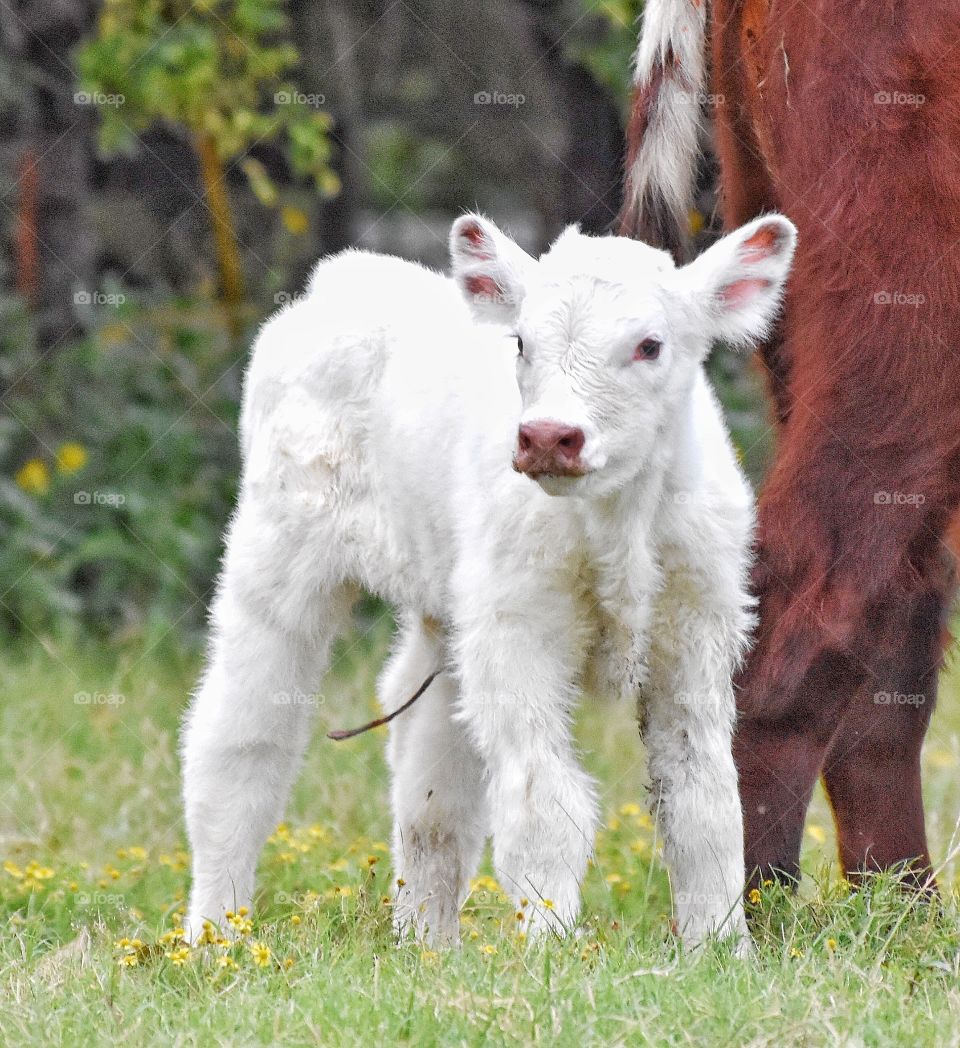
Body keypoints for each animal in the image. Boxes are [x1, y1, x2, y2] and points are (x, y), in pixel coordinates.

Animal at [181, 210, 796, 950]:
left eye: (650, 346)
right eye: (522, 342)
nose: (548, 436)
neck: (617, 523)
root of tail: (344, 276)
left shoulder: (696, 635)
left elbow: (703, 803)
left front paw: (721, 951)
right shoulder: (518, 632)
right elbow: (545, 802)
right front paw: (551, 949)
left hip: (448, 610)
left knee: (430, 780)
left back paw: (425, 947)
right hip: (279, 556)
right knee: (239, 746)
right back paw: (214, 937)